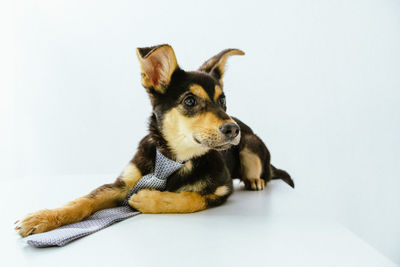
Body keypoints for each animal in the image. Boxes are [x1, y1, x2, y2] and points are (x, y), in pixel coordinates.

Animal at [14, 45, 294, 238]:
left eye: (222, 100)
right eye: (189, 101)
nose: (232, 129)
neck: (174, 157)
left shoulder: (221, 188)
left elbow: (189, 199)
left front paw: (148, 199)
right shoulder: (121, 184)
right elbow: (83, 200)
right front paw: (43, 217)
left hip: (251, 146)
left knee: (261, 171)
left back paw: (255, 180)